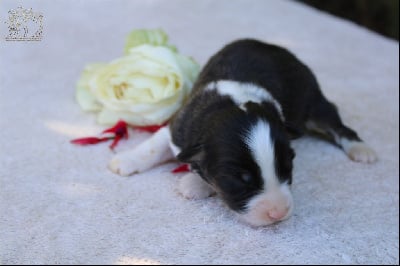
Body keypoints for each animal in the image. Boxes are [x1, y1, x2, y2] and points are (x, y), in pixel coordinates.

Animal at [109, 39, 378, 227]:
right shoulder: (179, 127)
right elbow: (154, 145)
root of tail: (277, 48)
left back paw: (361, 149)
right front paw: (125, 160)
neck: (232, 102)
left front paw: (194, 184)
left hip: (313, 101)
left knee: (337, 124)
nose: (279, 213)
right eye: (241, 180)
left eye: (287, 168)